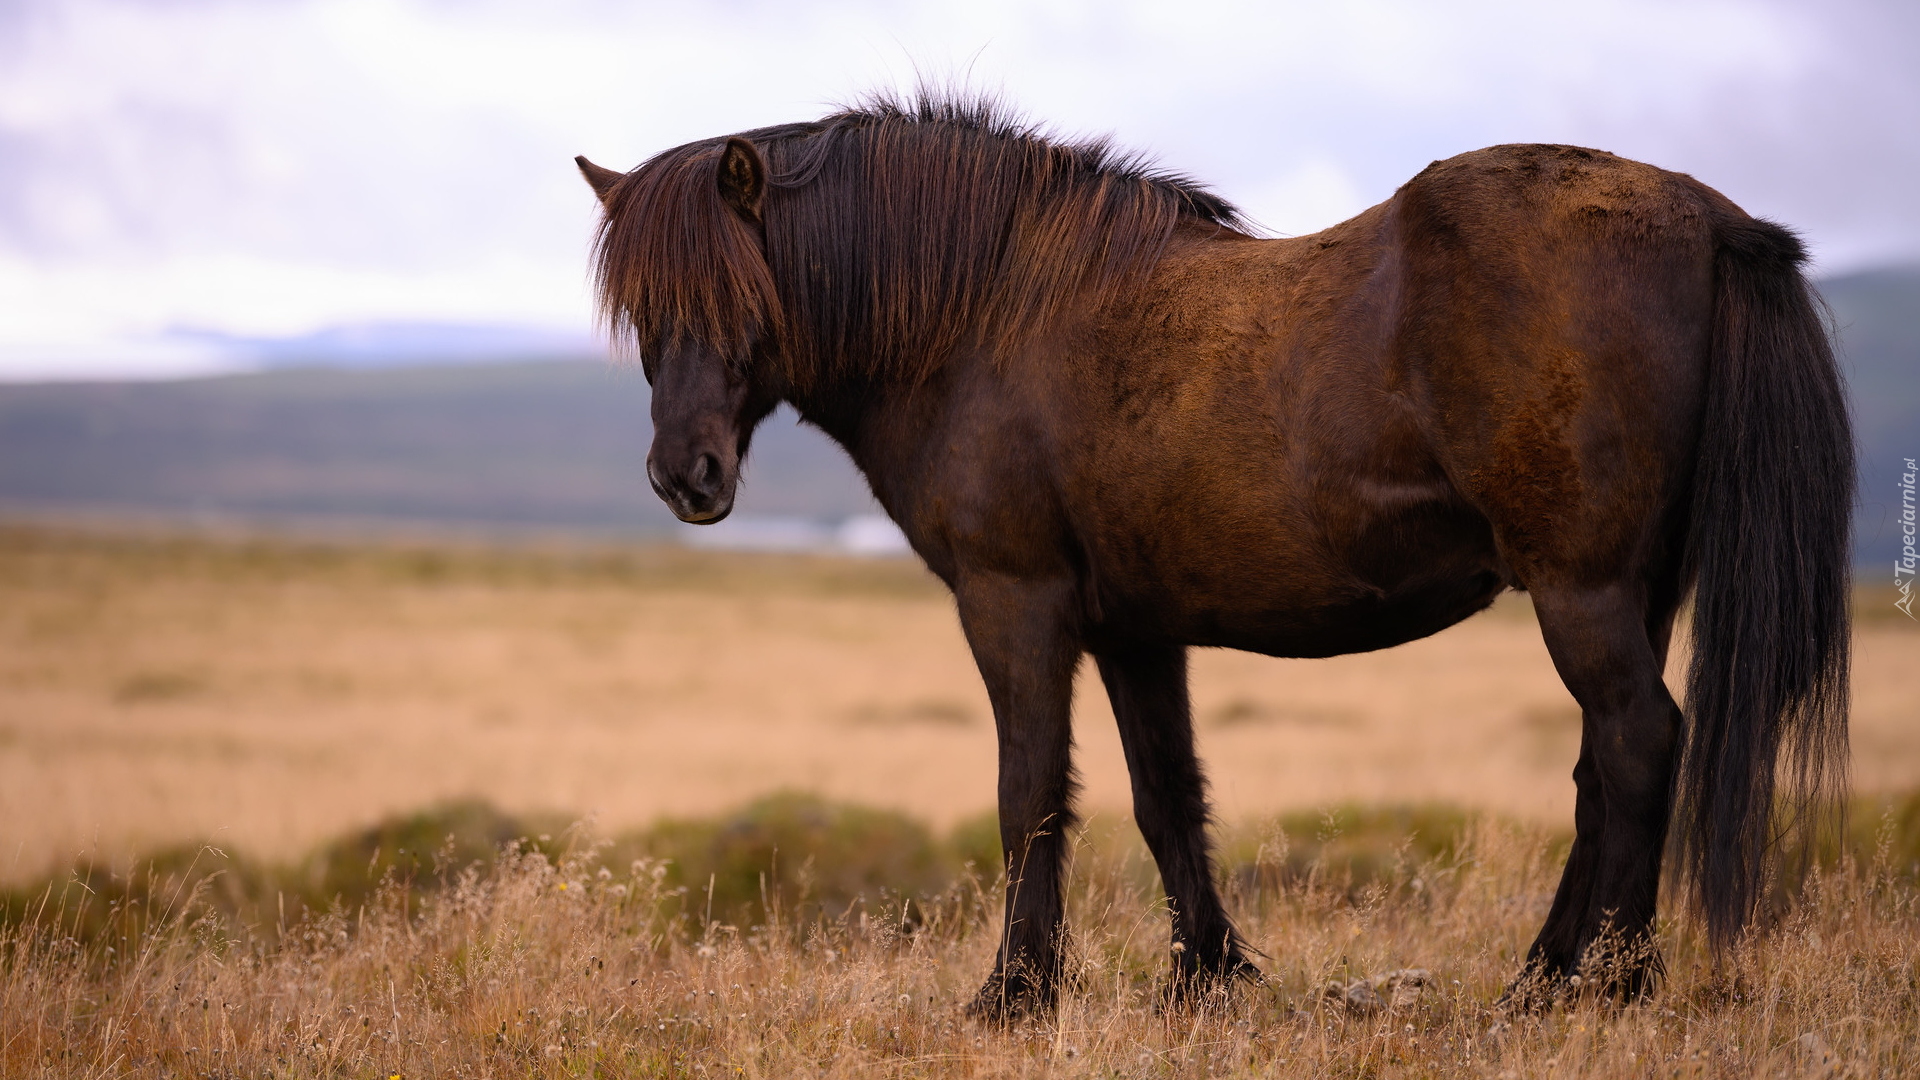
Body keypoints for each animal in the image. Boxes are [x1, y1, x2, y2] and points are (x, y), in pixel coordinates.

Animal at [576, 96, 1850, 1014]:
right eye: (641, 311)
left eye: (738, 293)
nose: (685, 476)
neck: (987, 318)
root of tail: (1709, 218)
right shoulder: (1136, 630)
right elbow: (1165, 795)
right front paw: (1207, 976)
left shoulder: (1014, 604)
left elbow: (1028, 792)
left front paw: (1013, 995)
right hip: (1635, 591)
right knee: (1604, 764)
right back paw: (1544, 974)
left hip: (1582, 591)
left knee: (1637, 744)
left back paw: (1603, 987)